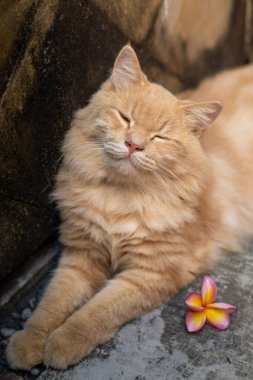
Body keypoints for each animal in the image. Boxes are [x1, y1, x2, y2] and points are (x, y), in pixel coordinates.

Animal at [6, 44, 253, 368]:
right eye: (126, 118)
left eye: (160, 136)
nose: (134, 145)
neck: (120, 197)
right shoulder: (82, 256)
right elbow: (51, 304)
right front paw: (29, 343)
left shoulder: (150, 273)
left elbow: (96, 312)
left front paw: (62, 343)